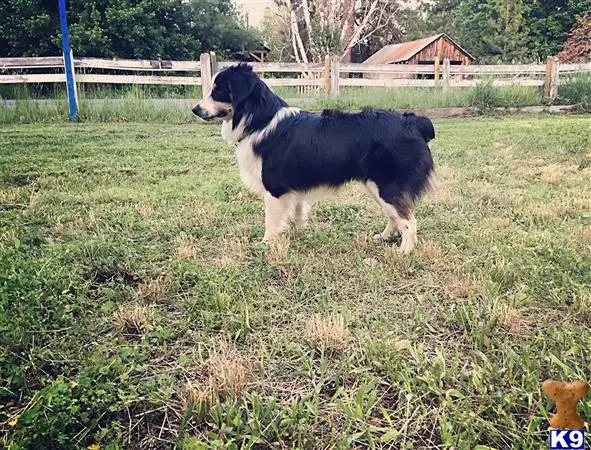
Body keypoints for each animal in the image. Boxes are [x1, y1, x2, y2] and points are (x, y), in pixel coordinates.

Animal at [193, 63, 434, 255]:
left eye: (218, 91)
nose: (195, 109)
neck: (260, 120)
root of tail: (414, 122)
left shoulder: (274, 188)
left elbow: (271, 222)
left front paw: (266, 245)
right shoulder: (294, 187)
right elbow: (298, 212)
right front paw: (297, 234)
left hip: (387, 187)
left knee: (409, 221)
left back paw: (404, 252)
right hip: (375, 187)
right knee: (395, 216)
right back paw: (384, 237)